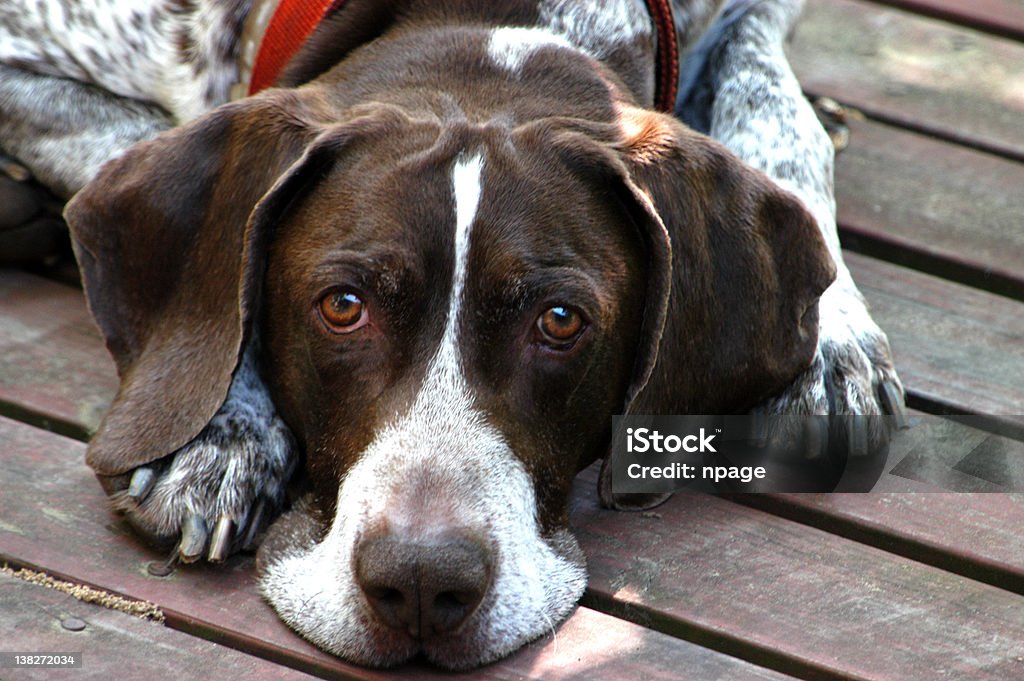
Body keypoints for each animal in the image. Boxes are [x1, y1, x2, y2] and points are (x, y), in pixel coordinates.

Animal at [0, 0, 905, 667]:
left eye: (560, 321)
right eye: (342, 305)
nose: (421, 584)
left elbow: (776, 104)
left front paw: (834, 339)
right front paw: (220, 430)